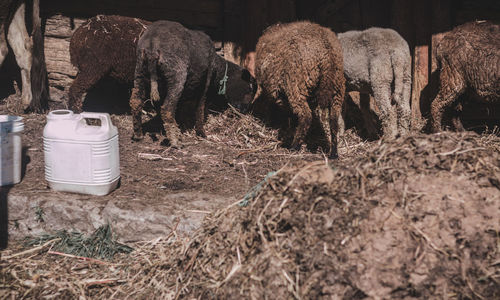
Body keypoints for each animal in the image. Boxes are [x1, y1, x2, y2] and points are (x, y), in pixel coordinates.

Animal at [254, 20, 344, 157]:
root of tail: (327, 53)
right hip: (337, 90)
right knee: (333, 121)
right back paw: (333, 152)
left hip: (296, 86)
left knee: (306, 116)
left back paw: (294, 146)